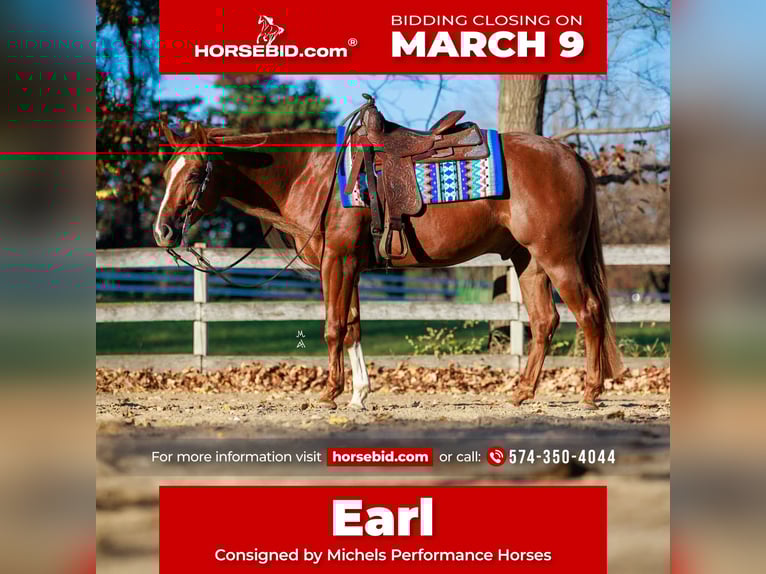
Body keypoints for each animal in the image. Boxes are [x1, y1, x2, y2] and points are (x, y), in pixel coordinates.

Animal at [155, 121, 622, 410]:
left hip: (558, 259)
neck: (316, 174)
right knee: (545, 322)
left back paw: (591, 391)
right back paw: (522, 392)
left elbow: (333, 327)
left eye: (195, 174)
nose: (162, 230)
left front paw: (330, 391)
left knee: (589, 314)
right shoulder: (348, 265)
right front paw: (359, 394)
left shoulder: (337, 260)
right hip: (529, 262)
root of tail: (571, 155)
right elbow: (353, 327)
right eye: (165, 173)